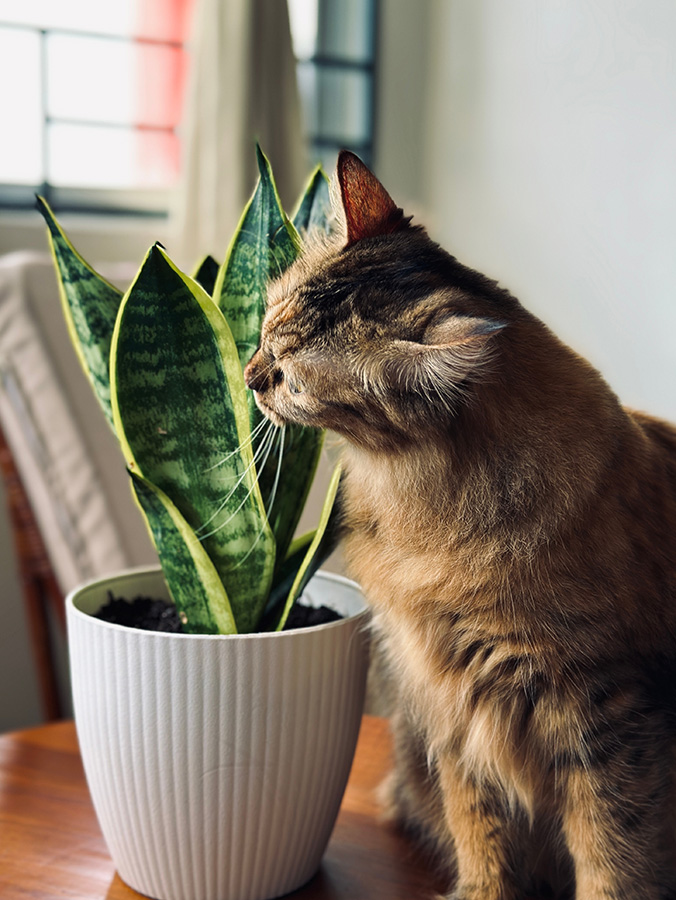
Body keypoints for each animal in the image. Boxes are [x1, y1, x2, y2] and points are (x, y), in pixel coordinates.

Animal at [246, 151, 676, 900]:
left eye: (292, 380)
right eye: (266, 324)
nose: (245, 376)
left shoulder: (606, 710)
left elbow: (615, 854)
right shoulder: (451, 700)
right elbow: (480, 832)